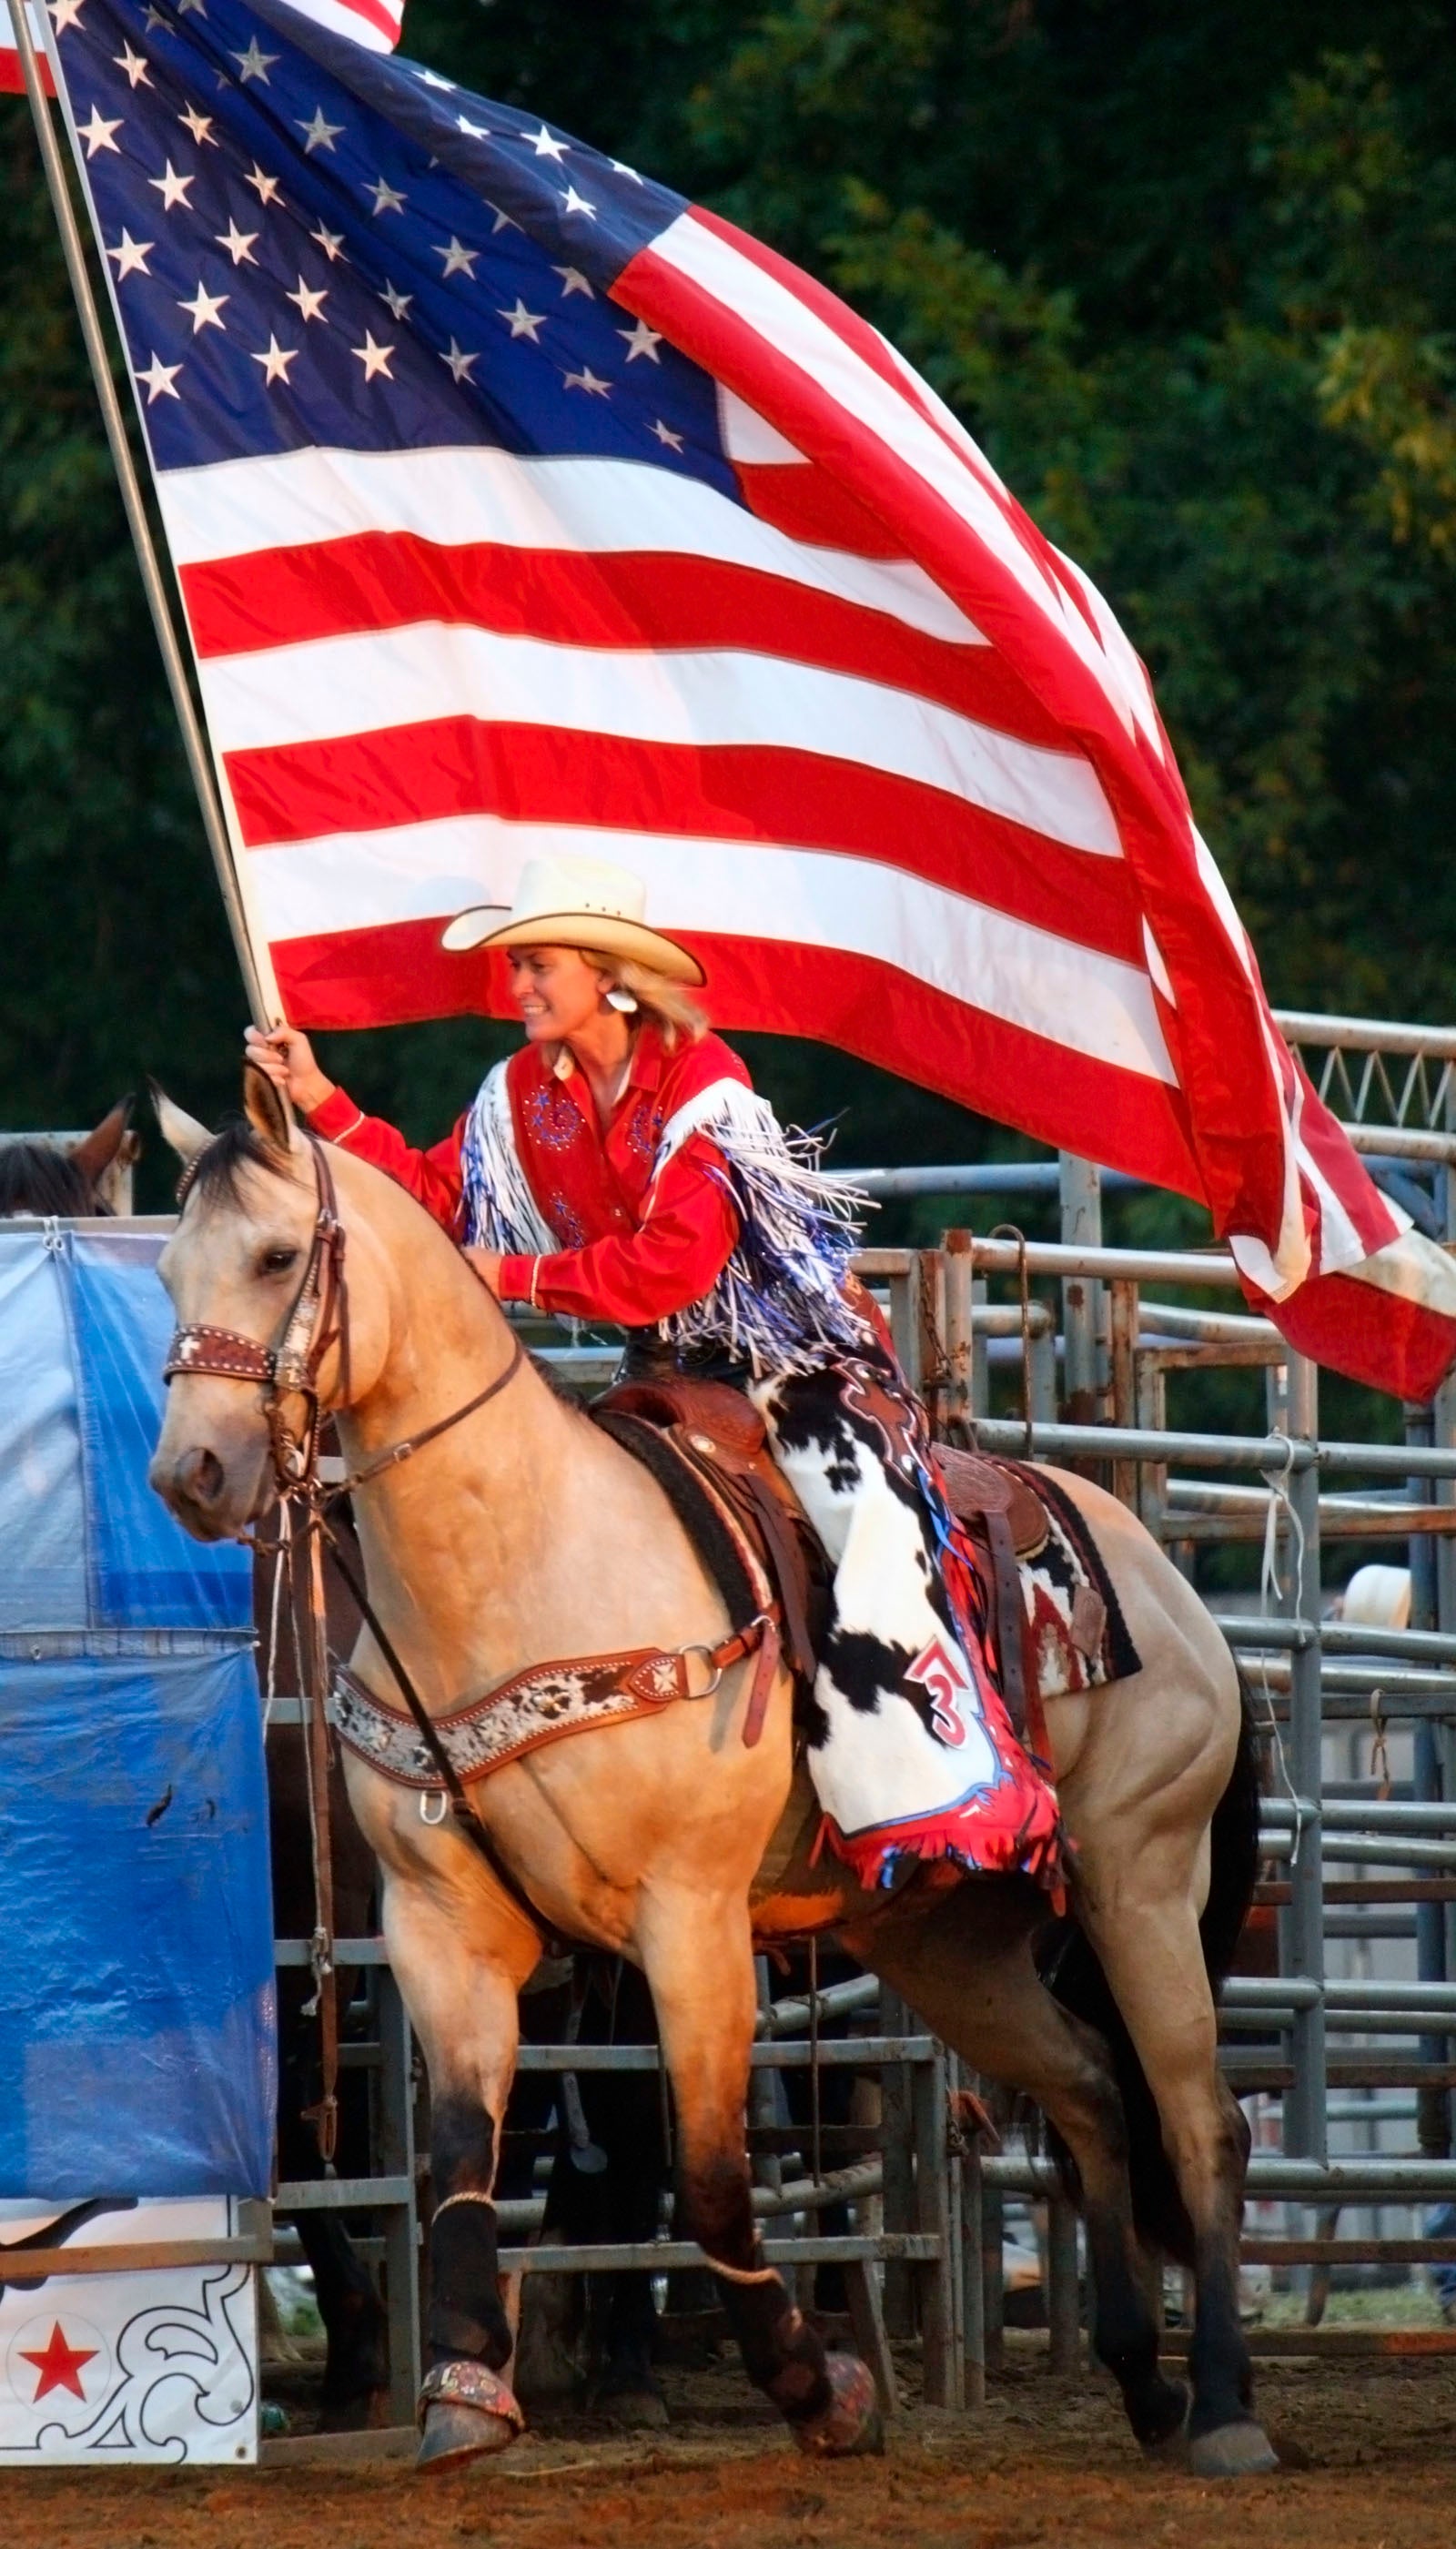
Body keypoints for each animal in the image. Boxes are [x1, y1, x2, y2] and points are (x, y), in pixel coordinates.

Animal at [142, 1065, 1269, 2477]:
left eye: (280, 1254)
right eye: (170, 1266)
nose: (190, 1473)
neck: (525, 1562)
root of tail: (1175, 1591)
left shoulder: (687, 1923)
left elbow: (712, 2176)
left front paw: (817, 2386)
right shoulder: (441, 1923)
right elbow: (460, 2154)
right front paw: (463, 2385)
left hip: (1141, 1880)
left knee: (1197, 2115)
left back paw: (1223, 2405)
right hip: (944, 1933)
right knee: (1087, 2086)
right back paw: (1141, 2379)